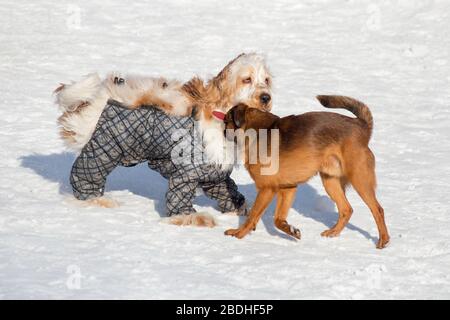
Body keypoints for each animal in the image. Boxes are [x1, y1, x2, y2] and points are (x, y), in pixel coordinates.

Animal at [225, 94, 390, 248]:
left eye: (226, 122)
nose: (223, 131)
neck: (256, 131)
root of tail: (362, 126)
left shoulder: (267, 189)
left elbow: (253, 215)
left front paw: (238, 234)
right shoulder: (288, 188)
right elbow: (278, 219)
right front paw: (291, 230)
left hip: (359, 179)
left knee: (378, 209)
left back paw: (383, 240)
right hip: (330, 181)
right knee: (346, 209)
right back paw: (333, 232)